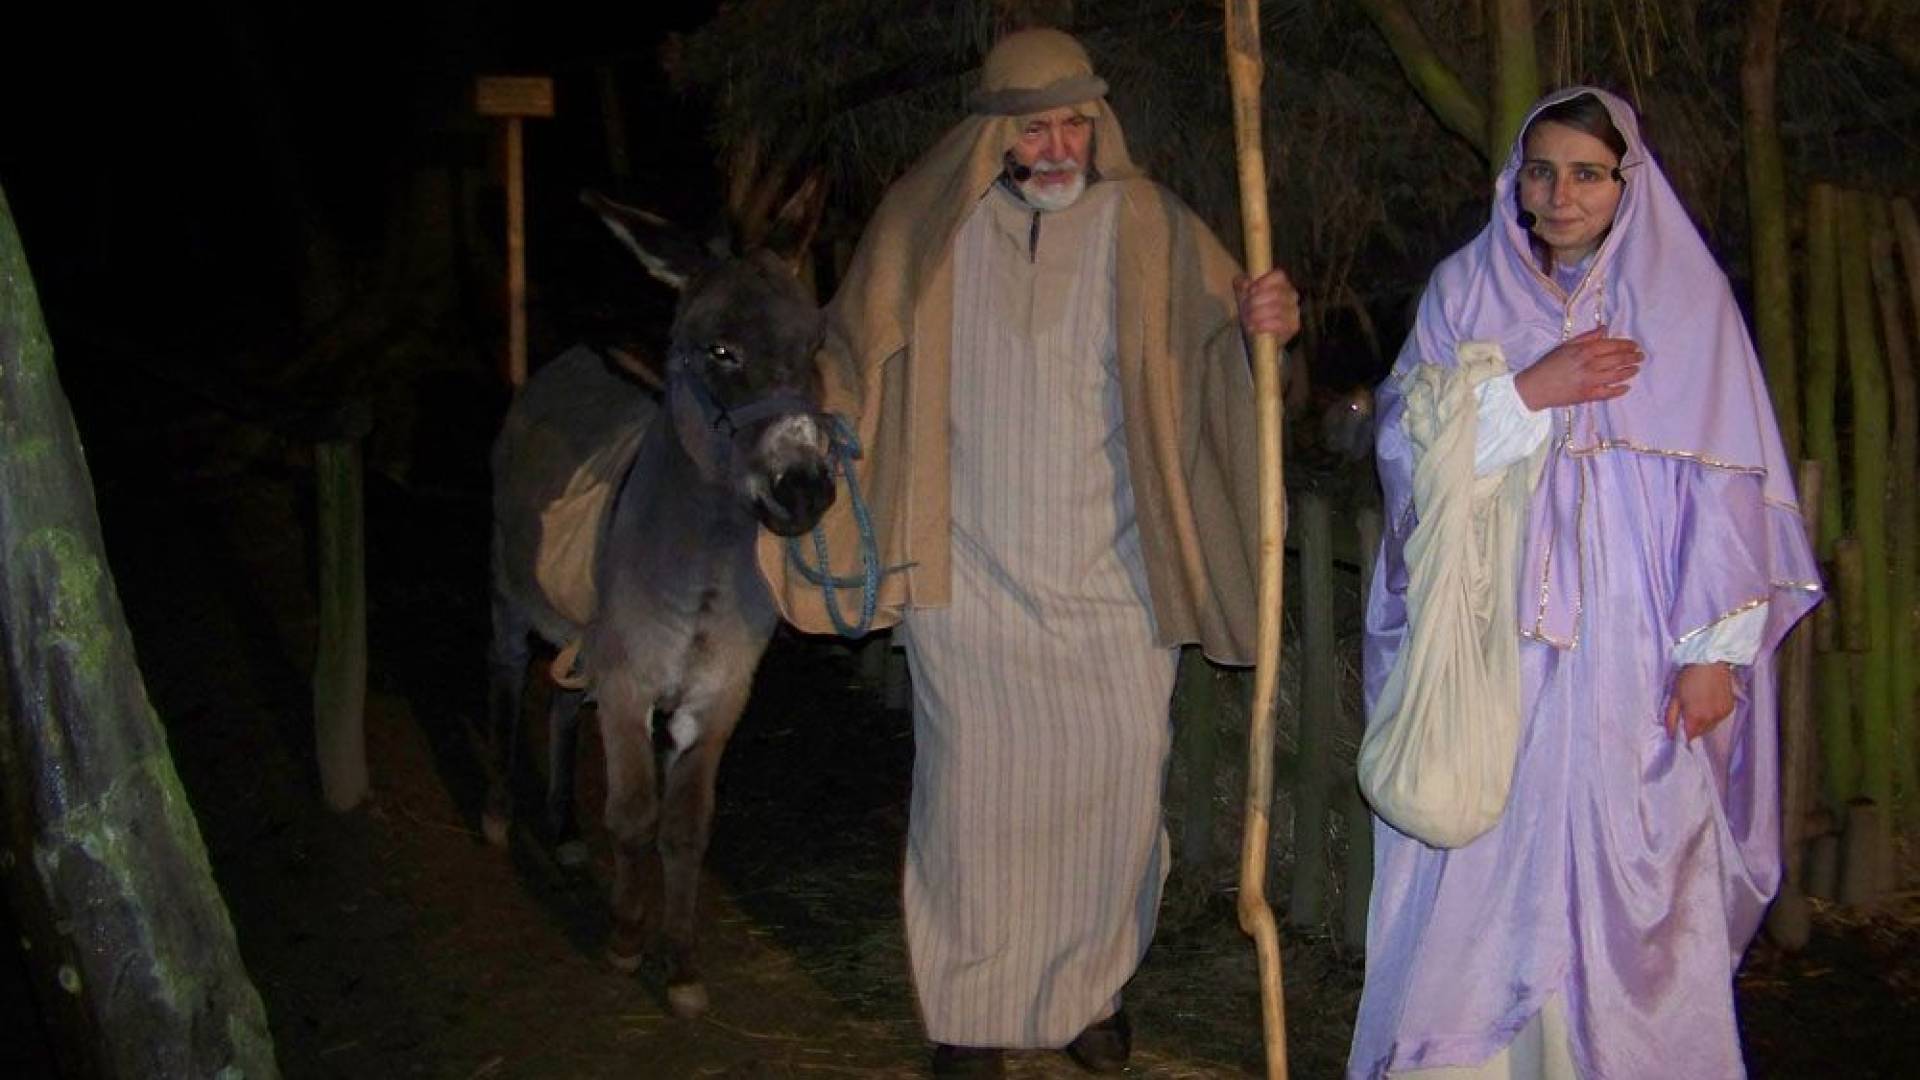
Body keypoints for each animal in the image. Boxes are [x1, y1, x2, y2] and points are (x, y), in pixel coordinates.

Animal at [483, 183, 834, 1018]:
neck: (702, 563)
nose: (805, 491)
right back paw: (499, 815)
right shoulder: (630, 685)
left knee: (558, 700)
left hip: (584, 636)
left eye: (813, 347)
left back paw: (563, 832)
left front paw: (679, 963)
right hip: (511, 594)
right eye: (721, 352)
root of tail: (574, 355)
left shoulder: (715, 696)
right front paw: (624, 938)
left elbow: (686, 828)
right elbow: (636, 816)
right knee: (507, 682)